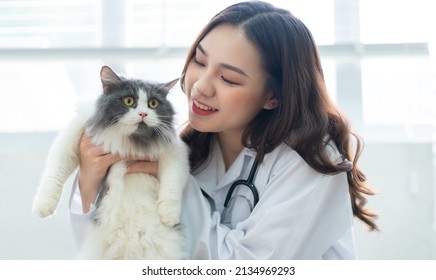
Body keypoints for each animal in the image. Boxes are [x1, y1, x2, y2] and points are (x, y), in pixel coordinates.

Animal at [33, 65, 190, 258]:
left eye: (153, 104)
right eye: (129, 101)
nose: (143, 113)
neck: (128, 139)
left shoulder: (176, 151)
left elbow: (171, 184)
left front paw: (169, 215)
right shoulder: (72, 136)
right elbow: (55, 171)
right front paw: (43, 206)